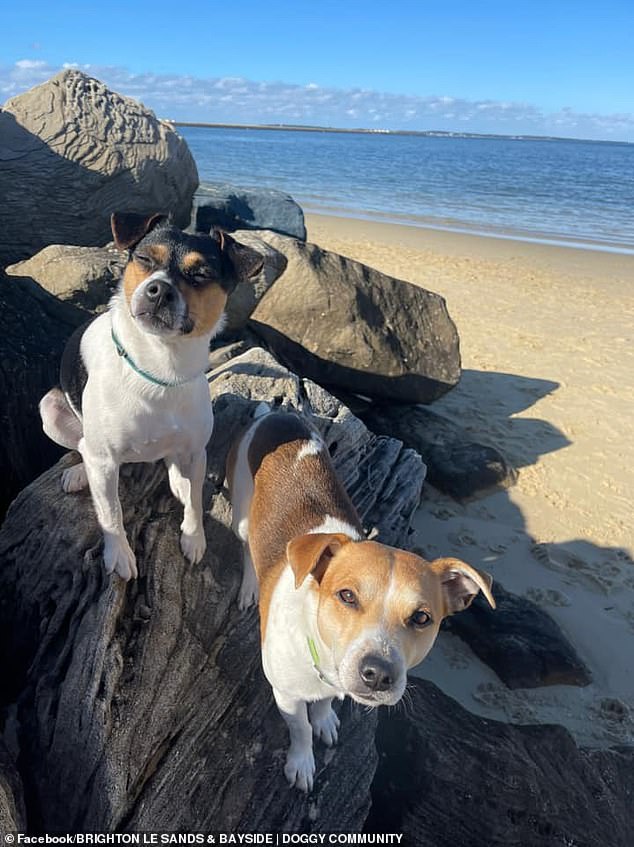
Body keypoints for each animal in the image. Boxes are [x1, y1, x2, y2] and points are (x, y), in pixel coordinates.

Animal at [227, 410, 494, 796]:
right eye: (347, 596)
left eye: (422, 617)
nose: (378, 674)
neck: (319, 646)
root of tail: (276, 413)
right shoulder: (286, 695)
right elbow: (300, 728)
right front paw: (302, 762)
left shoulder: (331, 683)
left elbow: (323, 706)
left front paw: (325, 719)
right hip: (242, 513)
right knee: (247, 549)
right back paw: (250, 587)